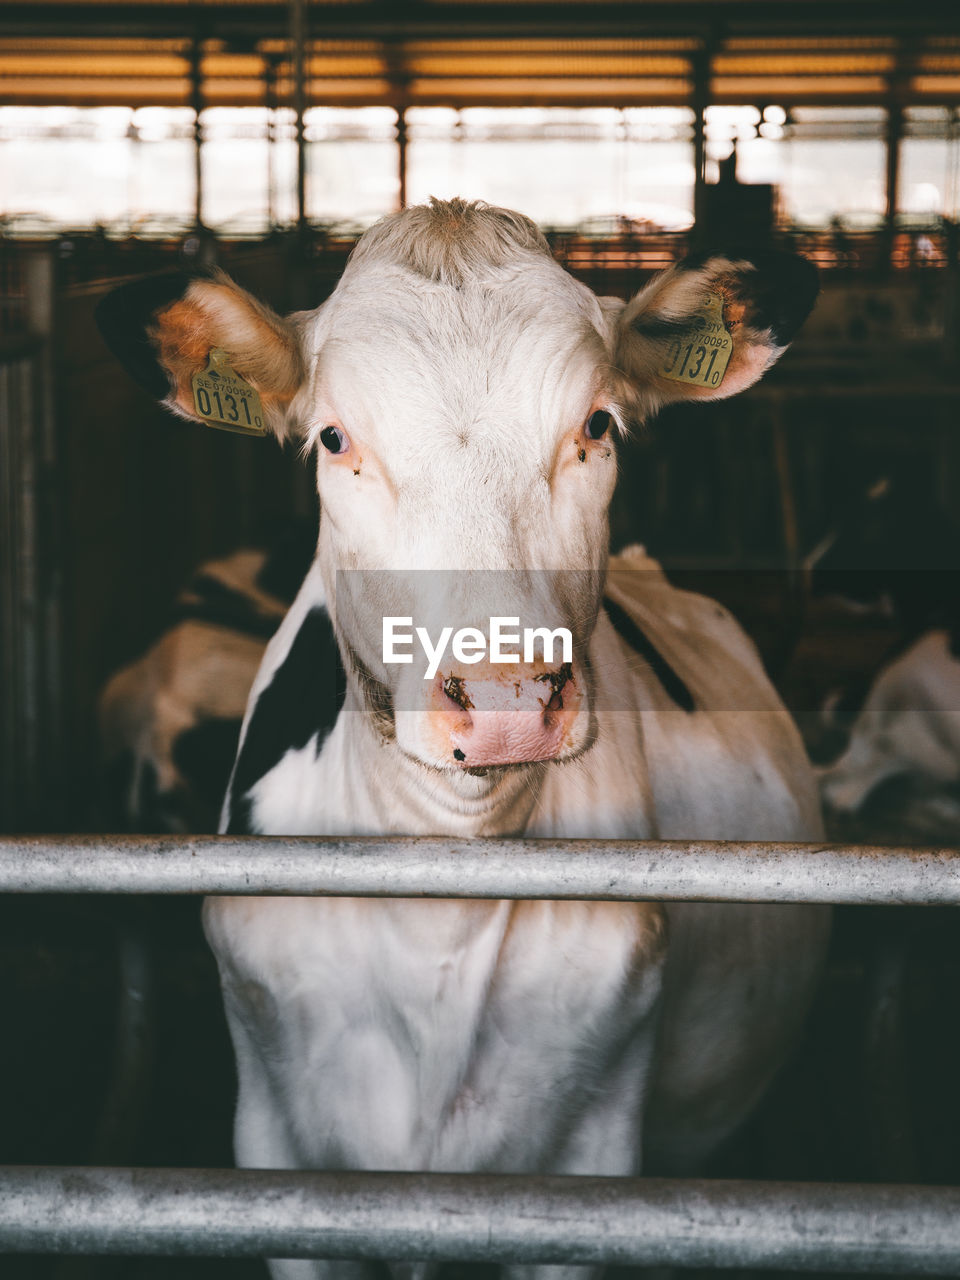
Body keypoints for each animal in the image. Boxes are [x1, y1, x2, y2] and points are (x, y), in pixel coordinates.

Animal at [99, 199, 834, 1280]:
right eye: (334, 438)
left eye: (597, 425)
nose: (505, 698)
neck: (446, 888)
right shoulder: (274, 1149)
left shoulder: (595, 1165)